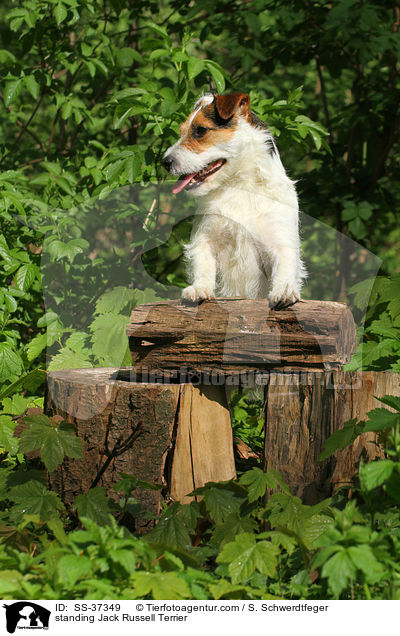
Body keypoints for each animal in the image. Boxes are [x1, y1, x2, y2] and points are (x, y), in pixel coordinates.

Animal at [161, 92, 304, 308]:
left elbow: (285, 267)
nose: (165, 162)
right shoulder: (204, 239)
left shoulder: (281, 241)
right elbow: (203, 266)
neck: (238, 186)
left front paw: (285, 290)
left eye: (200, 130)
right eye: (181, 131)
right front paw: (199, 288)